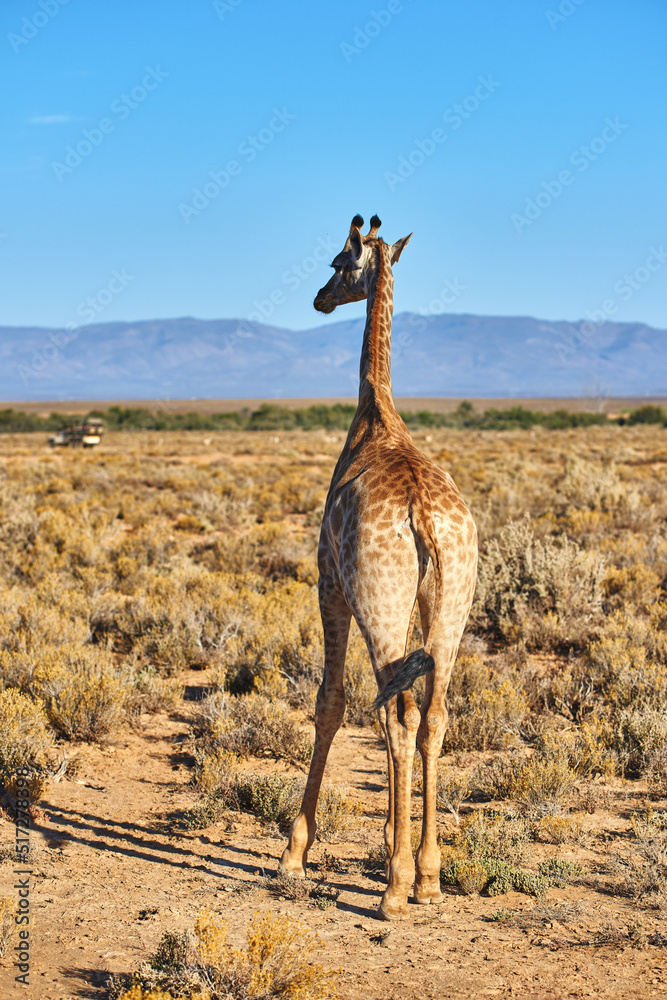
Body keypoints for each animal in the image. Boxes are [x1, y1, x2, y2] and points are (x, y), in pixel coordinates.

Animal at [280, 215, 478, 916]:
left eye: (340, 262)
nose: (319, 298)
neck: (375, 416)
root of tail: (425, 520)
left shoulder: (329, 584)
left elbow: (330, 703)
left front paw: (294, 853)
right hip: (450, 611)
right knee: (432, 716)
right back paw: (427, 875)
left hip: (379, 606)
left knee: (393, 715)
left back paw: (395, 886)